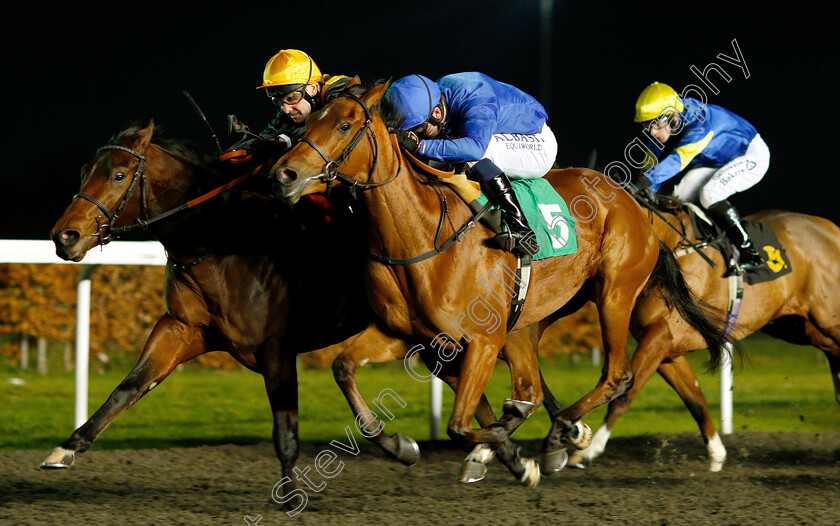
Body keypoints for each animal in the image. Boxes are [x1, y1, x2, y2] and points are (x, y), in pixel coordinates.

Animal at [268, 79, 728, 470]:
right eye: (307, 122)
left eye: (344, 125)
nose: (284, 174)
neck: (419, 241)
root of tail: (636, 206)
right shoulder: (408, 336)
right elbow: (343, 367)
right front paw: (400, 445)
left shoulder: (482, 341)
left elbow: (460, 424)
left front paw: (510, 451)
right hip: (535, 315)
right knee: (531, 385)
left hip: (614, 294)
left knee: (615, 376)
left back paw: (560, 435)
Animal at [568, 204, 840, 472]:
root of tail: (831, 228)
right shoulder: (667, 350)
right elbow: (694, 398)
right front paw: (717, 454)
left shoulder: (660, 338)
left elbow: (624, 395)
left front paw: (587, 451)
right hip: (802, 328)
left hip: (826, 322)